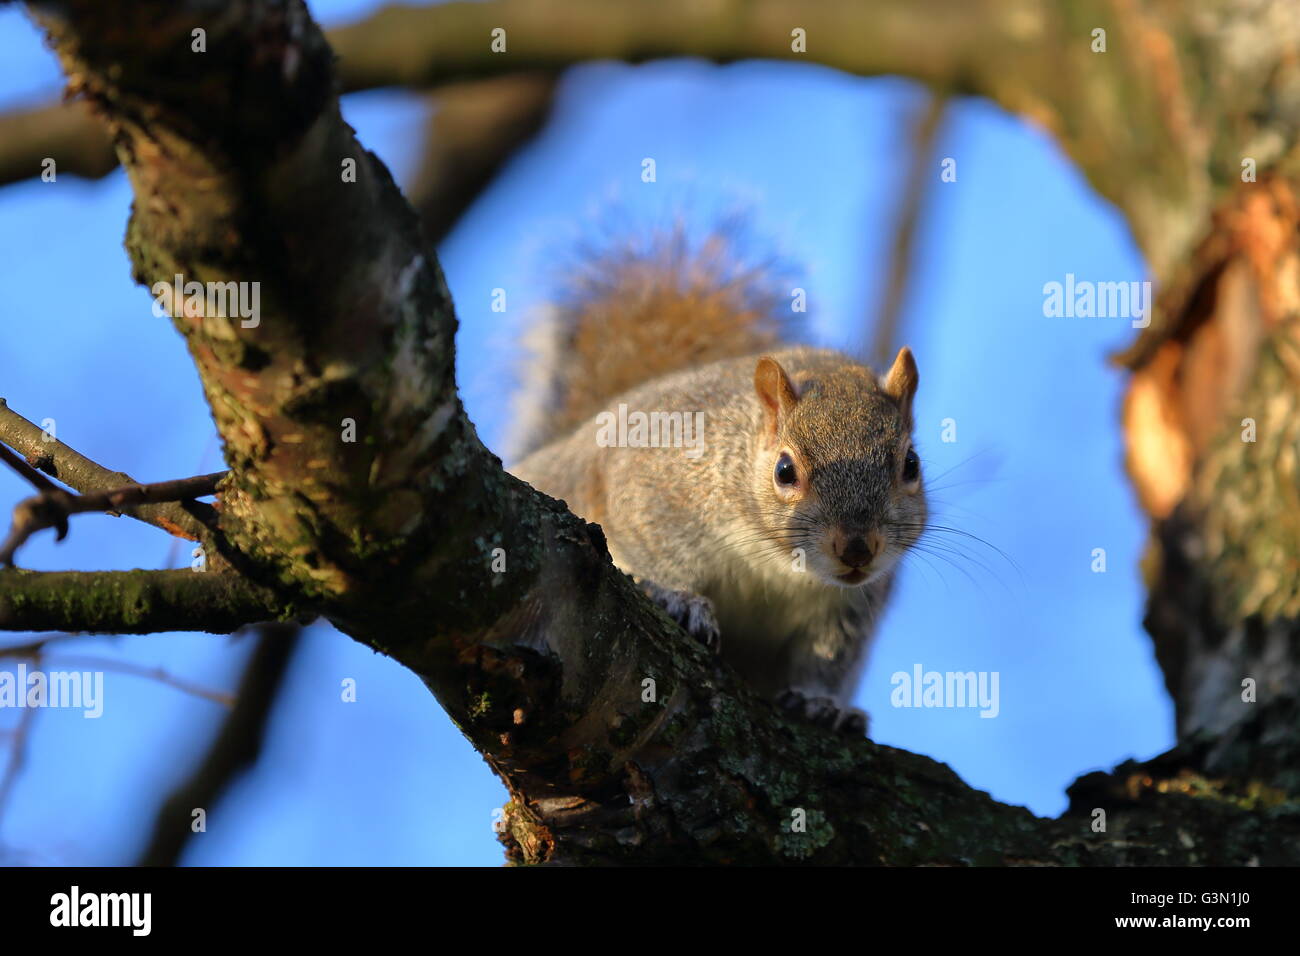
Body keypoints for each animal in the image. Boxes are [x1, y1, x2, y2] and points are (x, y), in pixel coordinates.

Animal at [506, 230, 925, 733]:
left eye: (911, 465)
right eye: (785, 471)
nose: (858, 549)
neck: (779, 565)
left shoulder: (847, 610)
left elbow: (827, 661)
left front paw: (822, 703)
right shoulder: (653, 487)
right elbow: (653, 551)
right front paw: (680, 599)